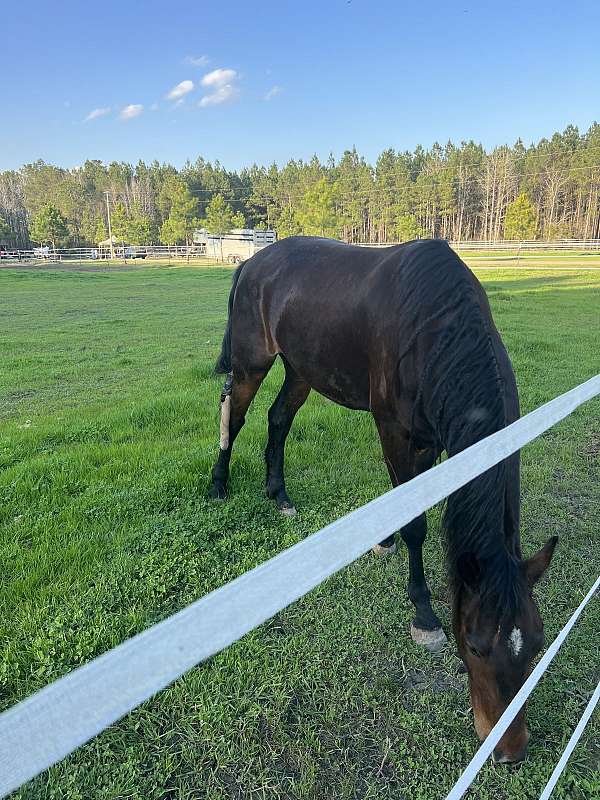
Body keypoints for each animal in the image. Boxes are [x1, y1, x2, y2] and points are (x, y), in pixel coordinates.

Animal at [210, 234, 556, 760]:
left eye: (536, 642)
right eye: (475, 644)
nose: (510, 751)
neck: (434, 324)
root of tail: (254, 261)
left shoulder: (432, 440)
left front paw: (386, 542)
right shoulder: (395, 430)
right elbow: (414, 519)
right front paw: (424, 613)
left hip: (301, 369)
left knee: (278, 419)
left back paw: (279, 494)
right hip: (253, 361)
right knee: (235, 413)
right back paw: (218, 484)